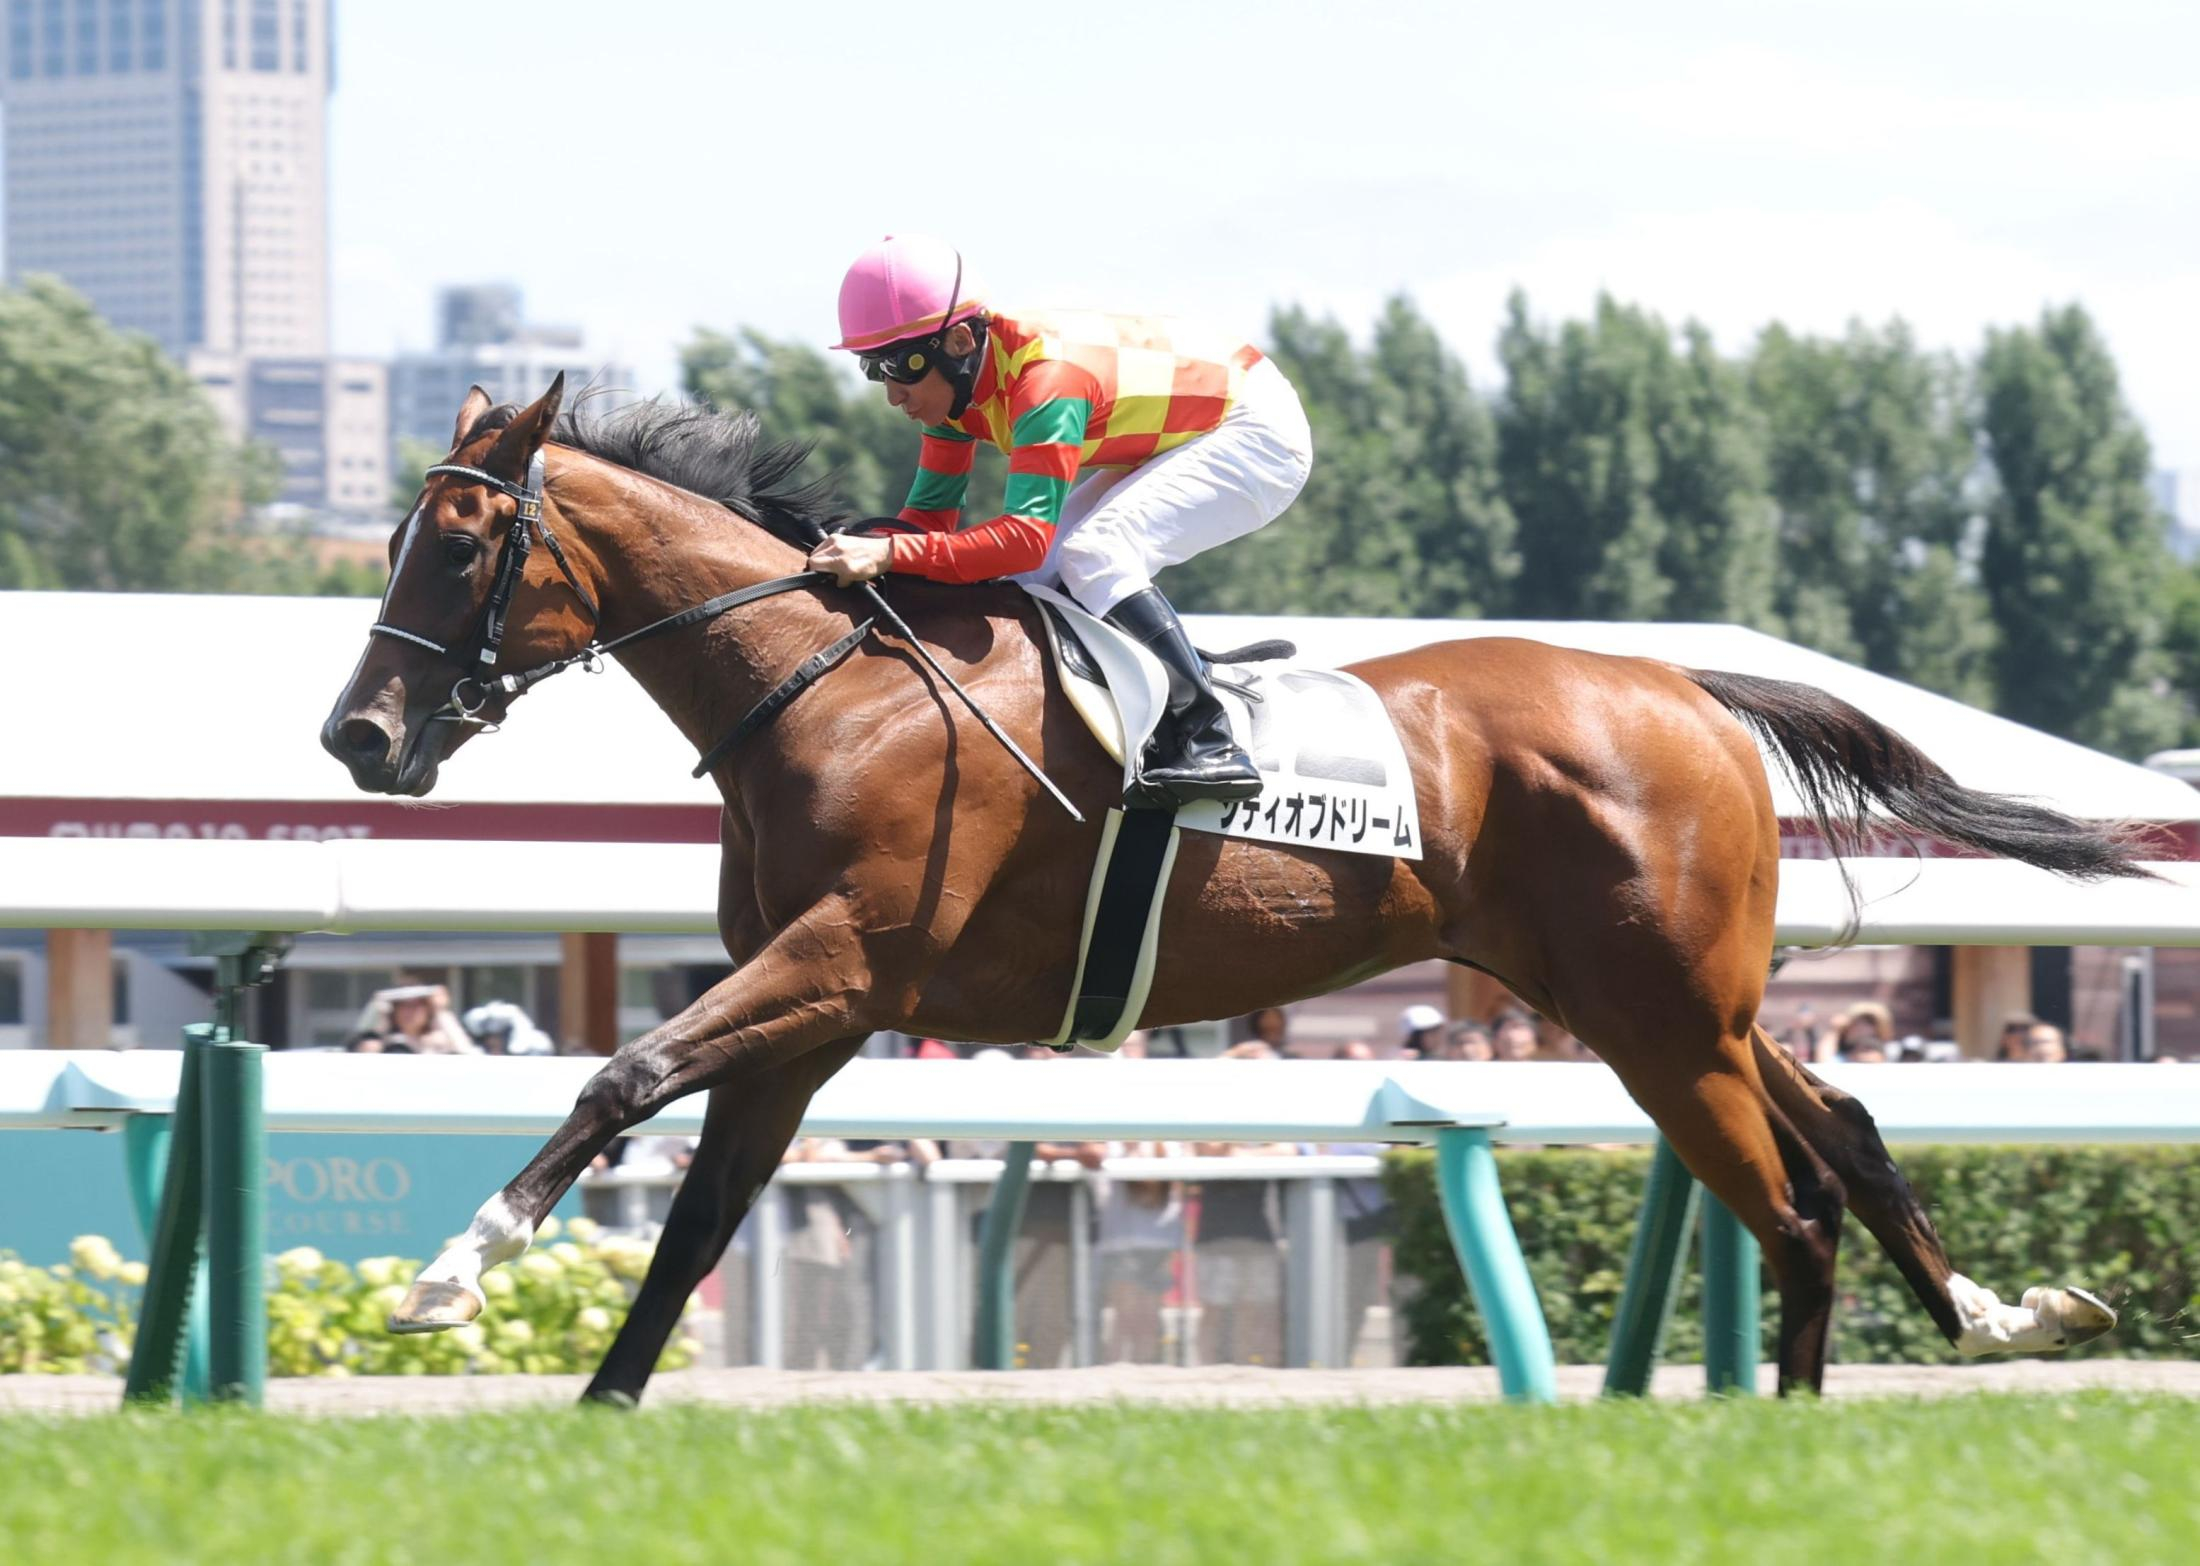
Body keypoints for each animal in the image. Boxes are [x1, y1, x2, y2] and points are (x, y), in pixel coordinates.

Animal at [323, 373, 2142, 1403]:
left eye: (463, 543)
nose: (359, 734)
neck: (829, 686)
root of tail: (1684, 688)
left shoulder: (841, 964)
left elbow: (620, 1070)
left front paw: (448, 1274)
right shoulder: (819, 1011)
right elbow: (698, 1206)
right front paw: (601, 1416)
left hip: (1660, 1015)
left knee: (1796, 1201)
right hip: (1658, 996)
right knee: (1849, 1130)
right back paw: (2001, 1313)